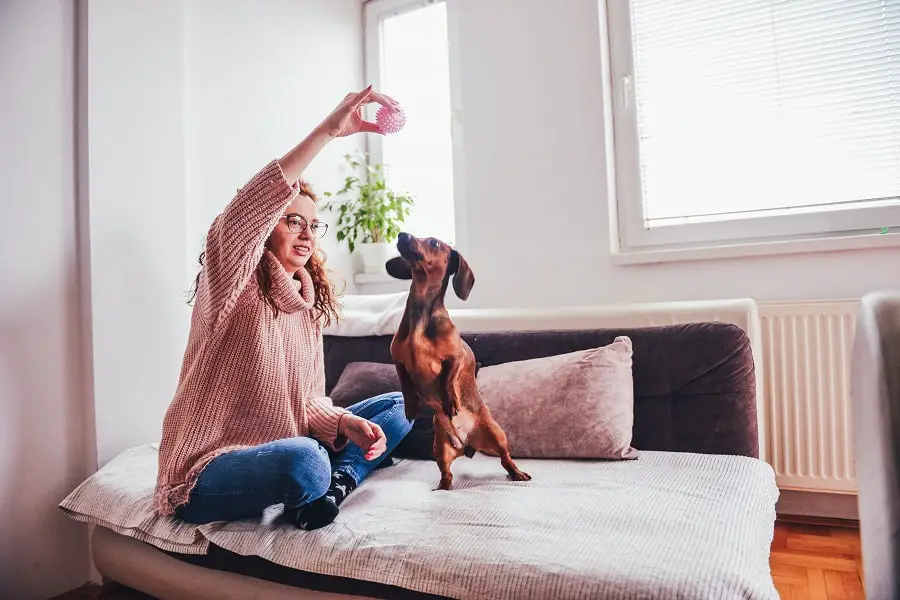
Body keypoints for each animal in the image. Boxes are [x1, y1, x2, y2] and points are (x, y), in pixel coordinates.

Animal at [384, 232, 528, 490]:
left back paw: (517, 472)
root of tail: (467, 446)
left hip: (496, 434)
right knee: (447, 474)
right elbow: (404, 382)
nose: (401, 234)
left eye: (434, 243)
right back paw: (442, 486)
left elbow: (448, 378)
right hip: (439, 448)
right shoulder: (398, 359)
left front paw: (450, 399)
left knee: (505, 458)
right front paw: (410, 405)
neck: (421, 315)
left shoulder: (455, 357)